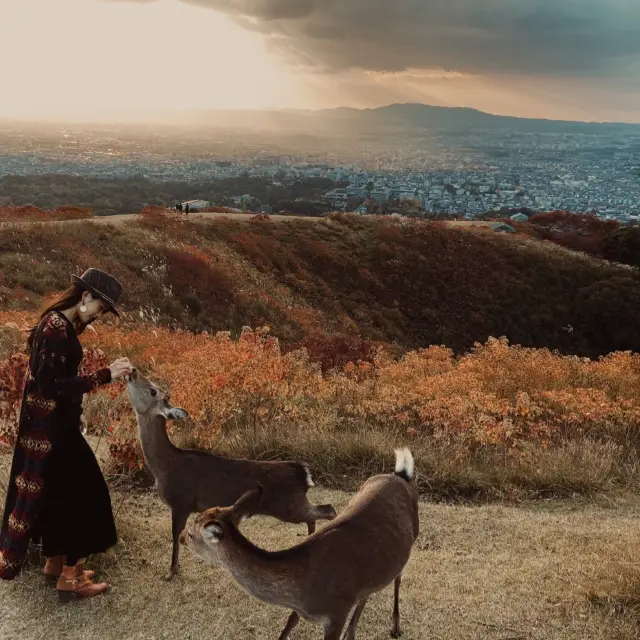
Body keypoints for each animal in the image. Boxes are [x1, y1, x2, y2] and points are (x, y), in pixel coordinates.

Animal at [122, 364, 338, 580]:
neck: (163, 467)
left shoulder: (181, 502)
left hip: (289, 505)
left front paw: (171, 571)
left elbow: (175, 535)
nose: (132, 371)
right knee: (316, 515)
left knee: (327, 510)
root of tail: (303, 474)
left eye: (153, 390)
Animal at [180, 448, 420, 640]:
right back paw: (352, 633)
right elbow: (290, 622)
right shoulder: (303, 607)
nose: (181, 537)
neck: (304, 591)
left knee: (398, 577)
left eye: (192, 533)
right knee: (371, 588)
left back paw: (395, 627)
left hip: (413, 537)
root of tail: (400, 476)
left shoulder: (337, 612)